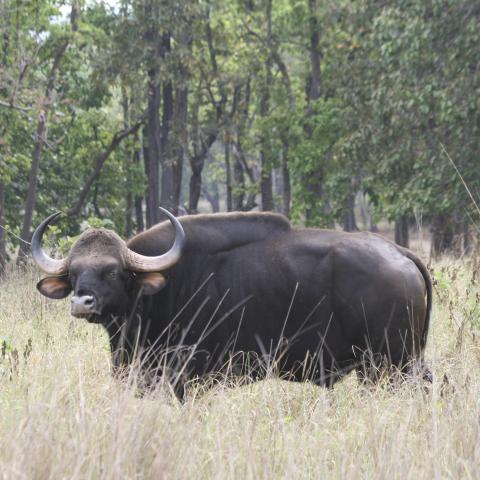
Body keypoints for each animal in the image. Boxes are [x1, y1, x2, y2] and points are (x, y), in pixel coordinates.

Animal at [31, 210, 434, 394]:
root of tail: (398, 253)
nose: (82, 302)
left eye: (113, 272)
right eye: (74, 273)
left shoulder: (185, 379)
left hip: (389, 365)